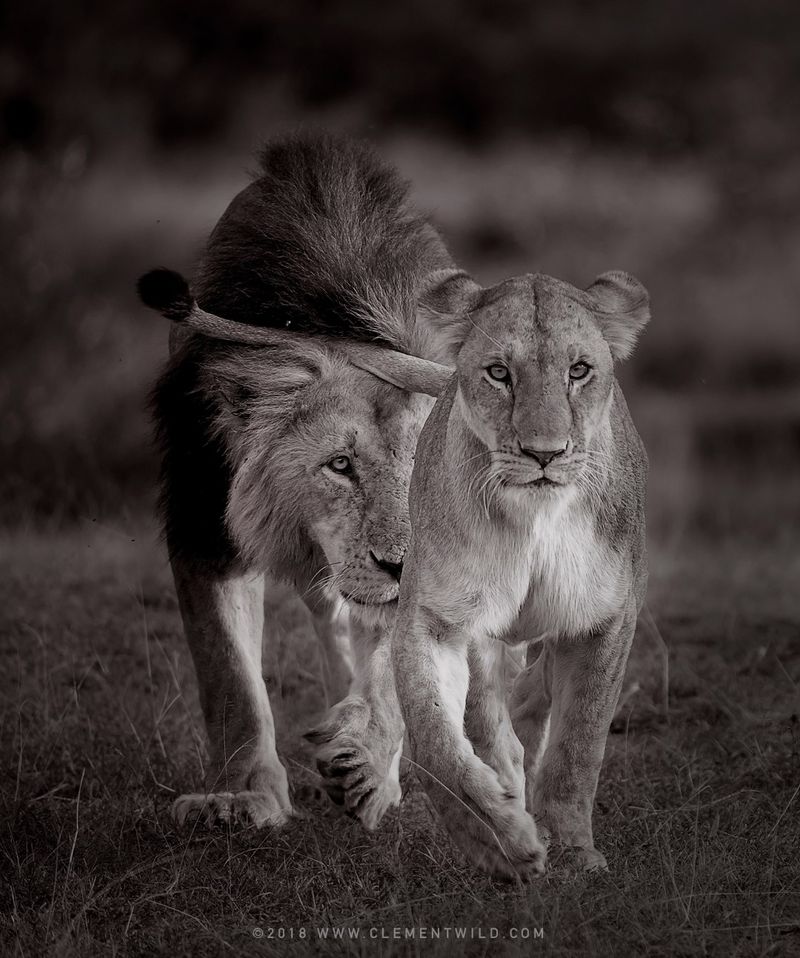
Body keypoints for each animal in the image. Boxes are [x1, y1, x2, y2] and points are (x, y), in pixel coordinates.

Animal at [140, 133, 458, 830]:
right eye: (339, 465)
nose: (402, 564)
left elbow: (393, 671)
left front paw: (367, 761)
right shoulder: (205, 524)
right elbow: (229, 675)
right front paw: (238, 797)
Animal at [380, 269, 650, 879]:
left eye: (579, 370)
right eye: (499, 373)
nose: (543, 454)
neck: (535, 522)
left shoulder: (606, 619)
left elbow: (580, 743)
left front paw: (574, 849)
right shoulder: (435, 617)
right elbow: (435, 740)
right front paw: (499, 840)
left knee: (534, 695)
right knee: (489, 714)